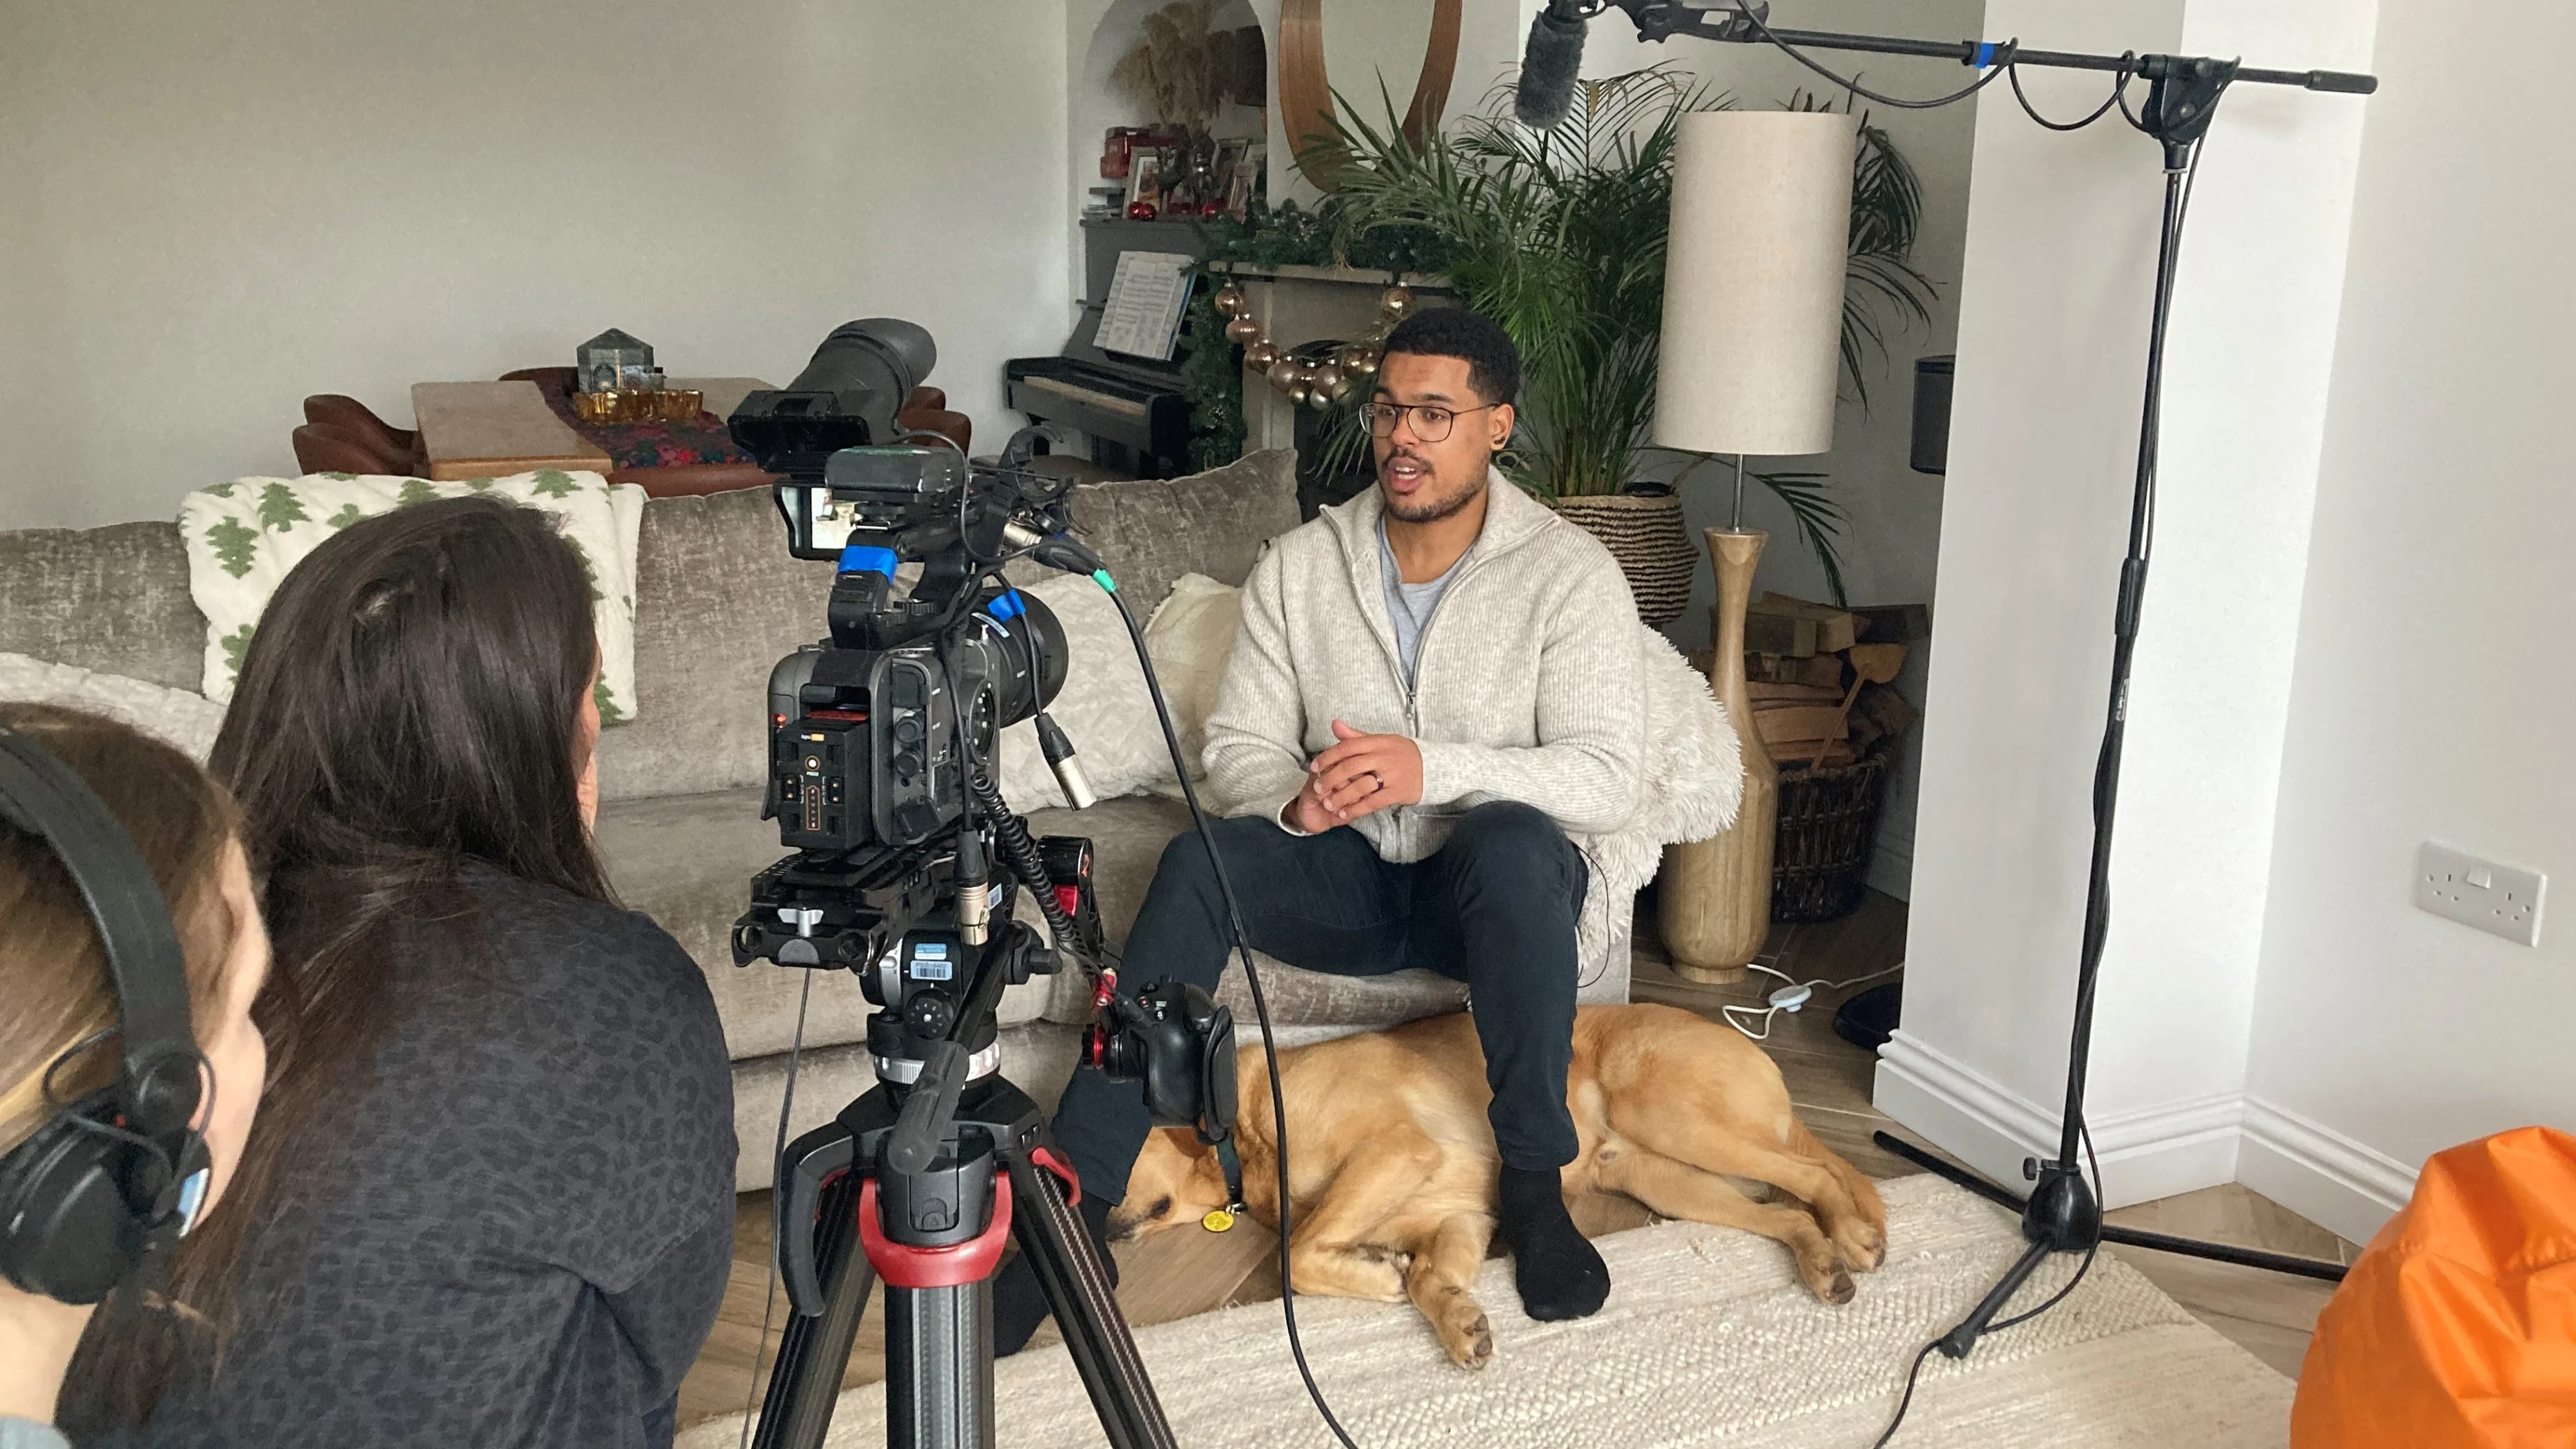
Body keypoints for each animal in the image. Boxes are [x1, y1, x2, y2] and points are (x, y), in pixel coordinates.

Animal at [1112, 1000, 1896, 1361]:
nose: (1099, 1231)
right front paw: (1456, 1320)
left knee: (1813, 1173)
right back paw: (1823, 1263)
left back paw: (1853, 1235)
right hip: (1669, 1180)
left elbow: (1300, 1256)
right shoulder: (1459, 1219)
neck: (1244, 1130)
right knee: (1789, 1213)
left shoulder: (1395, 1151)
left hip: (1673, 1116)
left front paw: (1376, 1277)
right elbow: (1429, 1279)